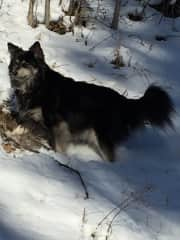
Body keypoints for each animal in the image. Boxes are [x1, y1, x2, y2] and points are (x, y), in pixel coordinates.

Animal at [7, 41, 174, 161]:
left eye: (25, 64)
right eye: (15, 62)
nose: (13, 72)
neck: (38, 86)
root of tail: (123, 101)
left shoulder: (57, 124)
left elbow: (58, 146)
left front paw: (60, 158)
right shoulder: (34, 118)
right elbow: (23, 128)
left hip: (102, 136)